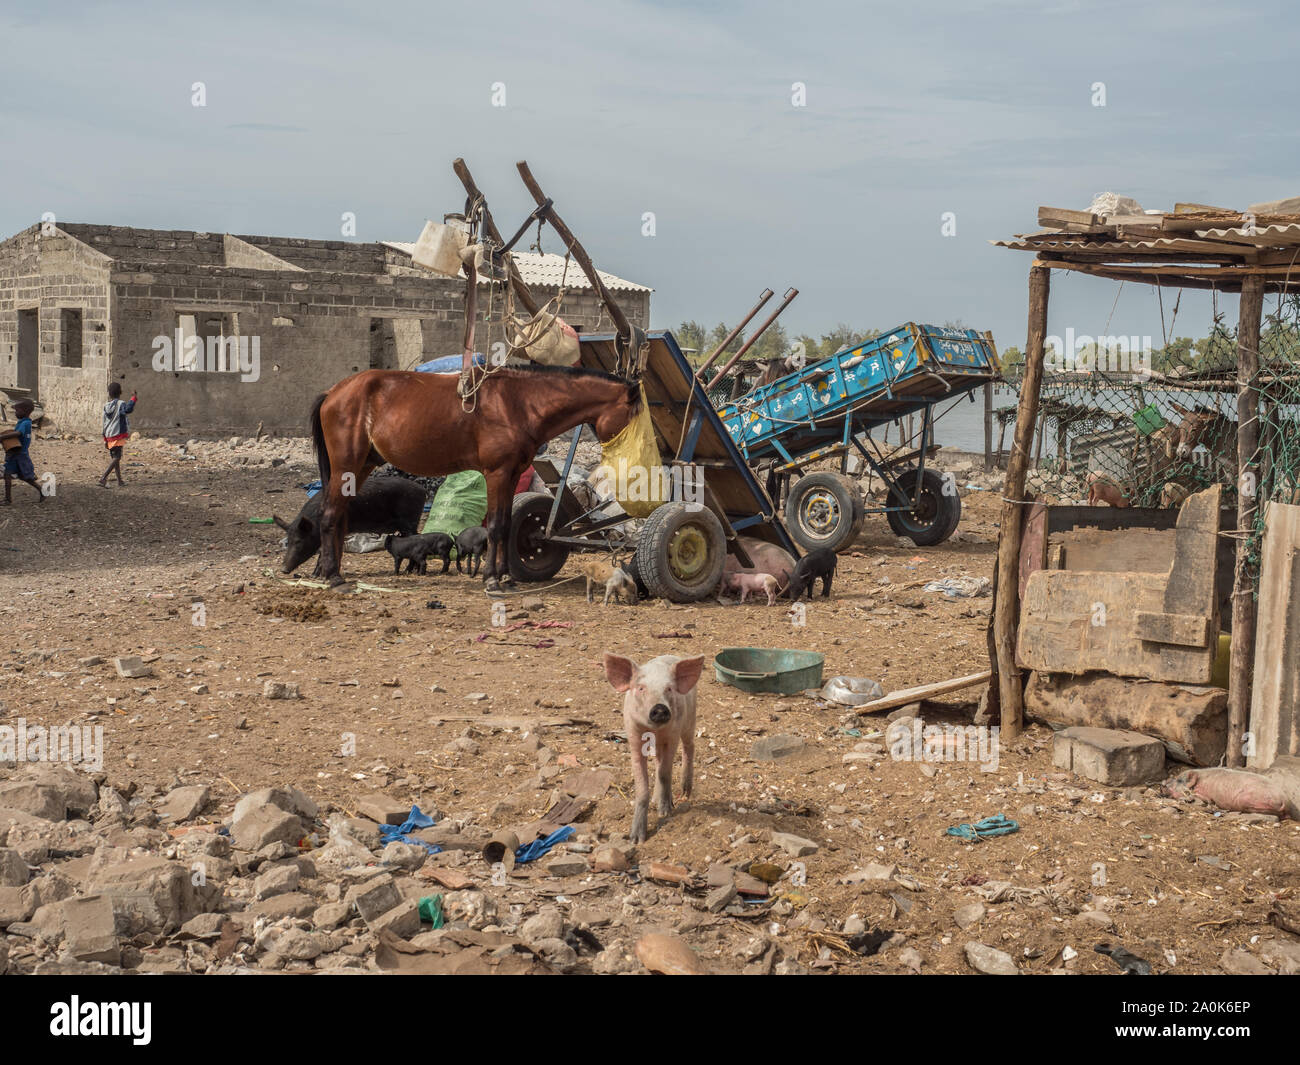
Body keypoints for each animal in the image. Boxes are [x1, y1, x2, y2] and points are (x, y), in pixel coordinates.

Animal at [310, 361, 644, 587]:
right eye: (634, 413)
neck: (517, 403)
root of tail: (333, 392)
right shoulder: (497, 473)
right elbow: (495, 526)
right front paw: (492, 579)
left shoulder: (511, 474)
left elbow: (507, 525)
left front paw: (505, 575)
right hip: (346, 465)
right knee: (329, 516)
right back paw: (333, 576)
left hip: (362, 466)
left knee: (339, 516)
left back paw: (329, 570)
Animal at [603, 652, 707, 847]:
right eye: (641, 688)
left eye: (669, 689)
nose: (659, 708)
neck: (655, 730)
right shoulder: (633, 736)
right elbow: (643, 786)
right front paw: (636, 840)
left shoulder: (673, 735)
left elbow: (664, 773)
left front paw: (664, 812)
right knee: (659, 760)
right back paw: (657, 799)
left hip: (690, 718)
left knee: (689, 746)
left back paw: (685, 792)